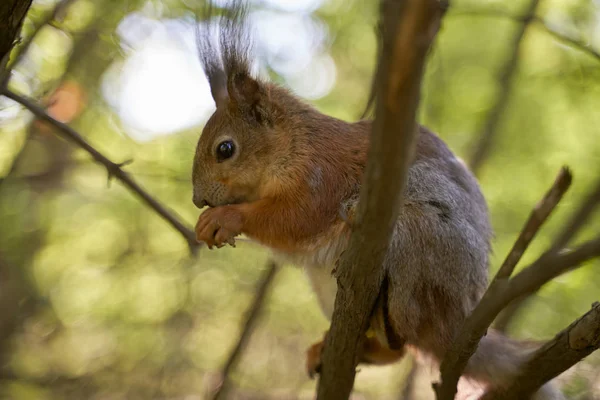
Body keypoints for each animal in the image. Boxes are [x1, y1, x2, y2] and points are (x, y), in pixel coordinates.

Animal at [191, 1, 564, 398]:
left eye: (225, 149)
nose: (198, 200)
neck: (296, 144)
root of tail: (458, 321)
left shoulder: (322, 179)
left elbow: (296, 219)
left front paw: (226, 218)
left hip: (419, 242)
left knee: (407, 330)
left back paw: (385, 318)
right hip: (326, 285)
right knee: (397, 352)